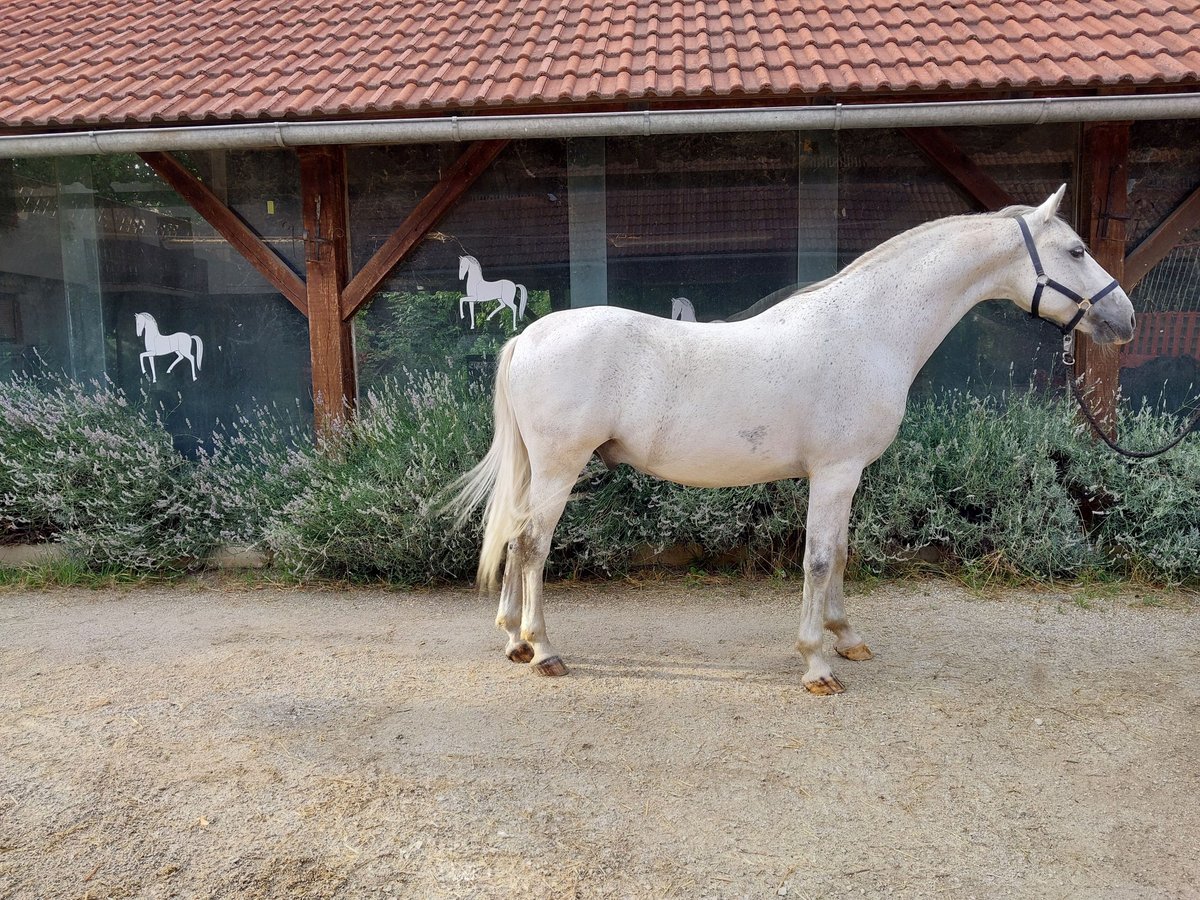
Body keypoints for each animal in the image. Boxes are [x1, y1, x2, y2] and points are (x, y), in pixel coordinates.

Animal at [451, 188, 1132, 696]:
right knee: (533, 546)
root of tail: (527, 337)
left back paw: (514, 640)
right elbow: (820, 558)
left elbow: (842, 553)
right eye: (1075, 249)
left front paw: (847, 638)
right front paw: (817, 663)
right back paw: (544, 650)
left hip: (537, 470)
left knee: (513, 539)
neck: (868, 328)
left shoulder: (846, 476)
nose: (1124, 318)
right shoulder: (834, 472)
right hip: (560, 468)